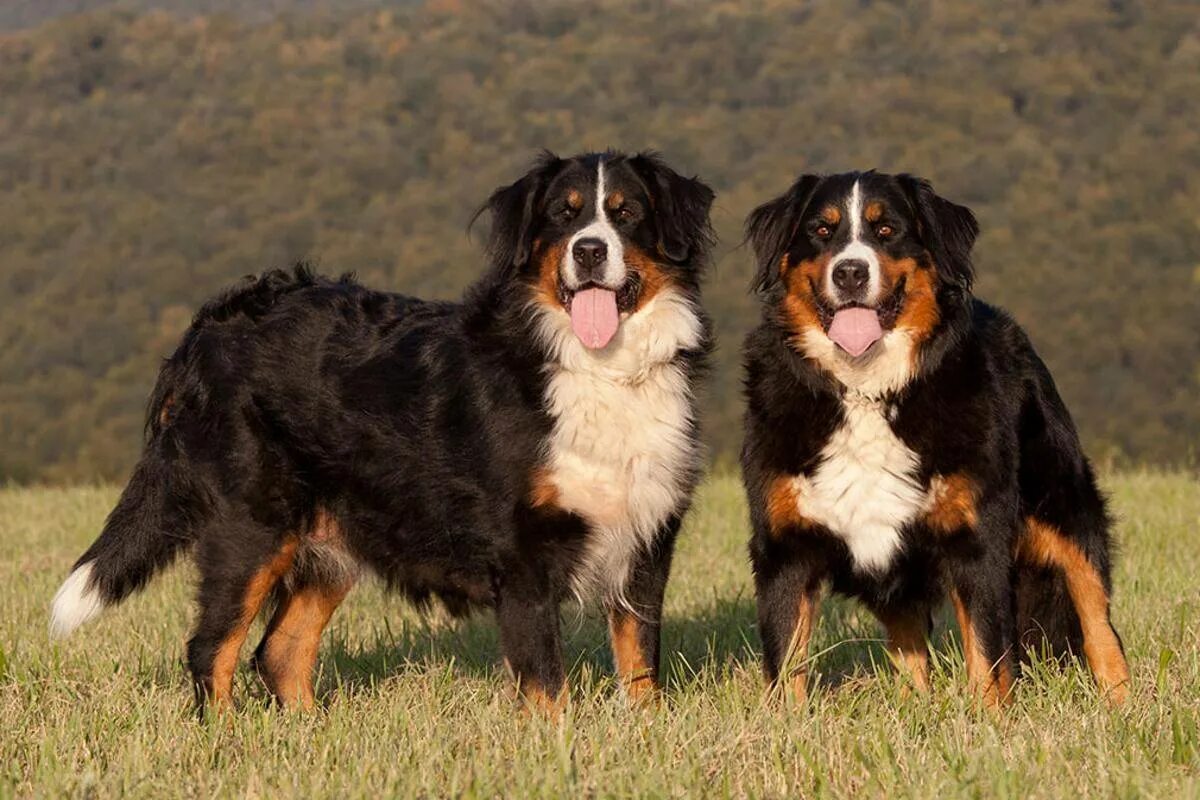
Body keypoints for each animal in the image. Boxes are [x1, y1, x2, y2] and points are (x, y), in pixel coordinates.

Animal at [51, 151, 715, 714]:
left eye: (626, 213)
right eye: (563, 214)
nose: (590, 251)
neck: (598, 368)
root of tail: (214, 322)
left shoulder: (646, 541)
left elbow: (641, 669)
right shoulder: (524, 557)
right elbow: (547, 686)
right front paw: (556, 754)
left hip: (330, 540)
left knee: (279, 651)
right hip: (251, 527)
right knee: (212, 649)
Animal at [744, 169, 1128, 705]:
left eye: (887, 230)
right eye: (821, 230)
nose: (850, 272)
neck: (868, 390)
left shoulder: (977, 540)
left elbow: (988, 657)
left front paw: (990, 721)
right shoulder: (785, 546)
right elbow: (785, 664)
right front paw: (787, 723)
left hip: (1064, 504)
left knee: (1096, 616)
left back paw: (1123, 700)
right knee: (908, 647)